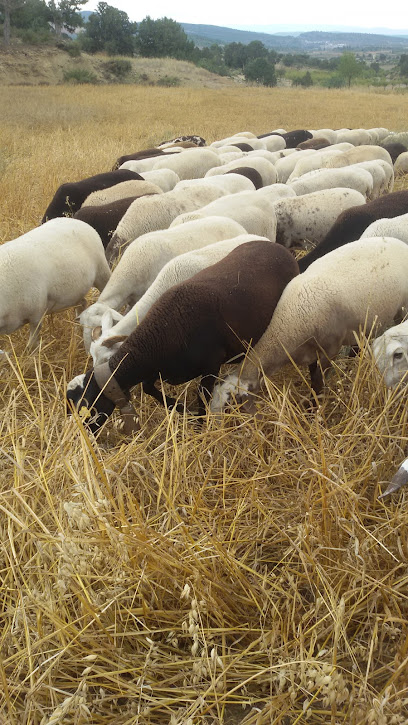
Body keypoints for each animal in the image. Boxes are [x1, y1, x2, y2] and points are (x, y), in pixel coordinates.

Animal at [0, 216, 111, 346]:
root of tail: (77, 221)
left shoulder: (36, 315)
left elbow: (32, 344)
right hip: (75, 291)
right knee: (82, 303)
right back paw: (76, 331)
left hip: (102, 272)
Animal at [210, 236, 408, 410]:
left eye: (230, 405)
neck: (289, 323)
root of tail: (396, 241)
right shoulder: (311, 352)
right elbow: (313, 377)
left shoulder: (329, 351)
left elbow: (319, 381)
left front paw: (314, 408)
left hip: (402, 308)